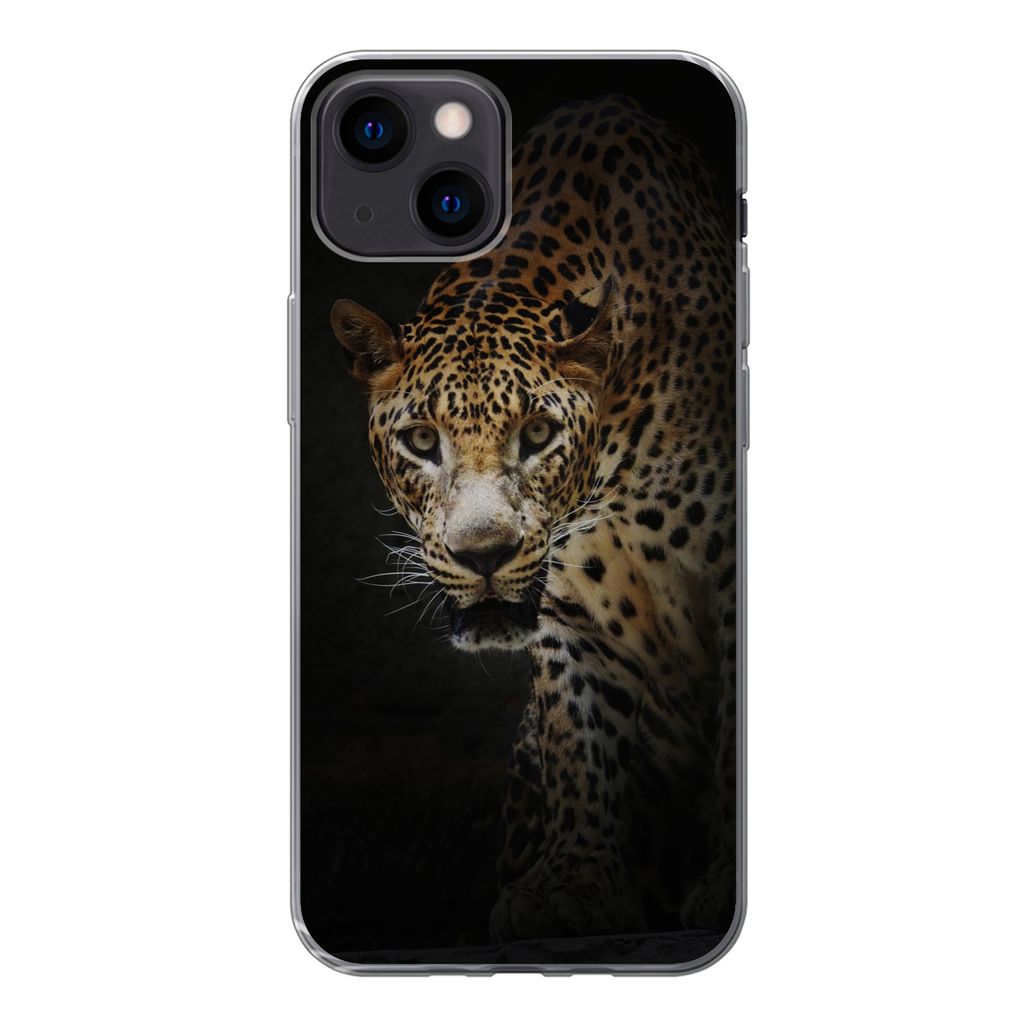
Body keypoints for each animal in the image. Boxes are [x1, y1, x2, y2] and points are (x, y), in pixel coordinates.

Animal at [331, 94, 738, 943]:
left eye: (540, 434)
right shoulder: (564, 602)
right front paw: (574, 882)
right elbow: (578, 735)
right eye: (423, 441)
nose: (484, 553)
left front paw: (721, 881)